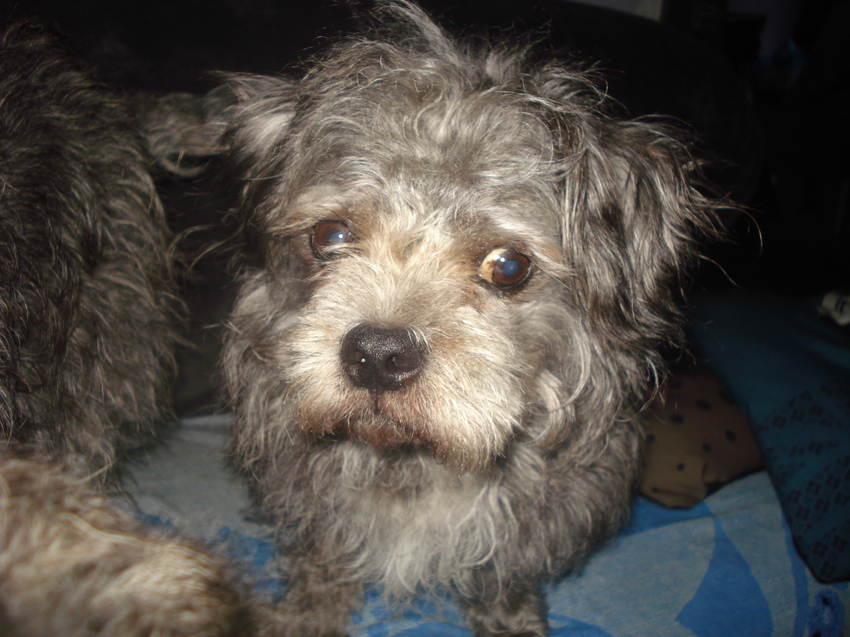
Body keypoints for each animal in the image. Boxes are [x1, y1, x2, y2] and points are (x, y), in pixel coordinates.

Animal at [198, 2, 720, 634]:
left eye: (509, 266)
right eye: (330, 235)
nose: (377, 356)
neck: (414, 463)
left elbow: (501, 578)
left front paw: (511, 621)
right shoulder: (311, 506)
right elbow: (320, 563)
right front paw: (304, 616)